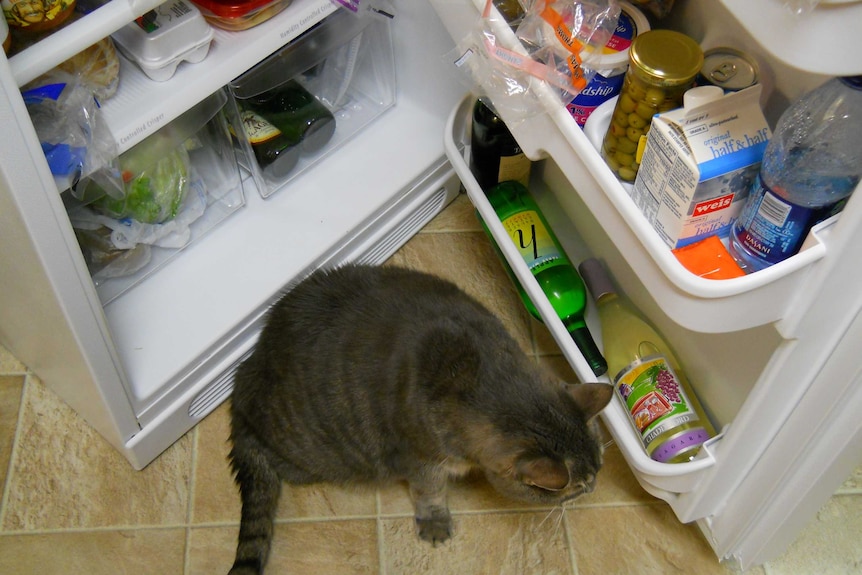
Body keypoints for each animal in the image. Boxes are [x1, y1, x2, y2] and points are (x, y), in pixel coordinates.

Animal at [226, 264, 612, 572]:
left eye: (600, 467)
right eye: (577, 487)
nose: (594, 487)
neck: (483, 377)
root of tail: (244, 380)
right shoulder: (422, 458)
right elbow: (431, 493)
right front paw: (436, 521)